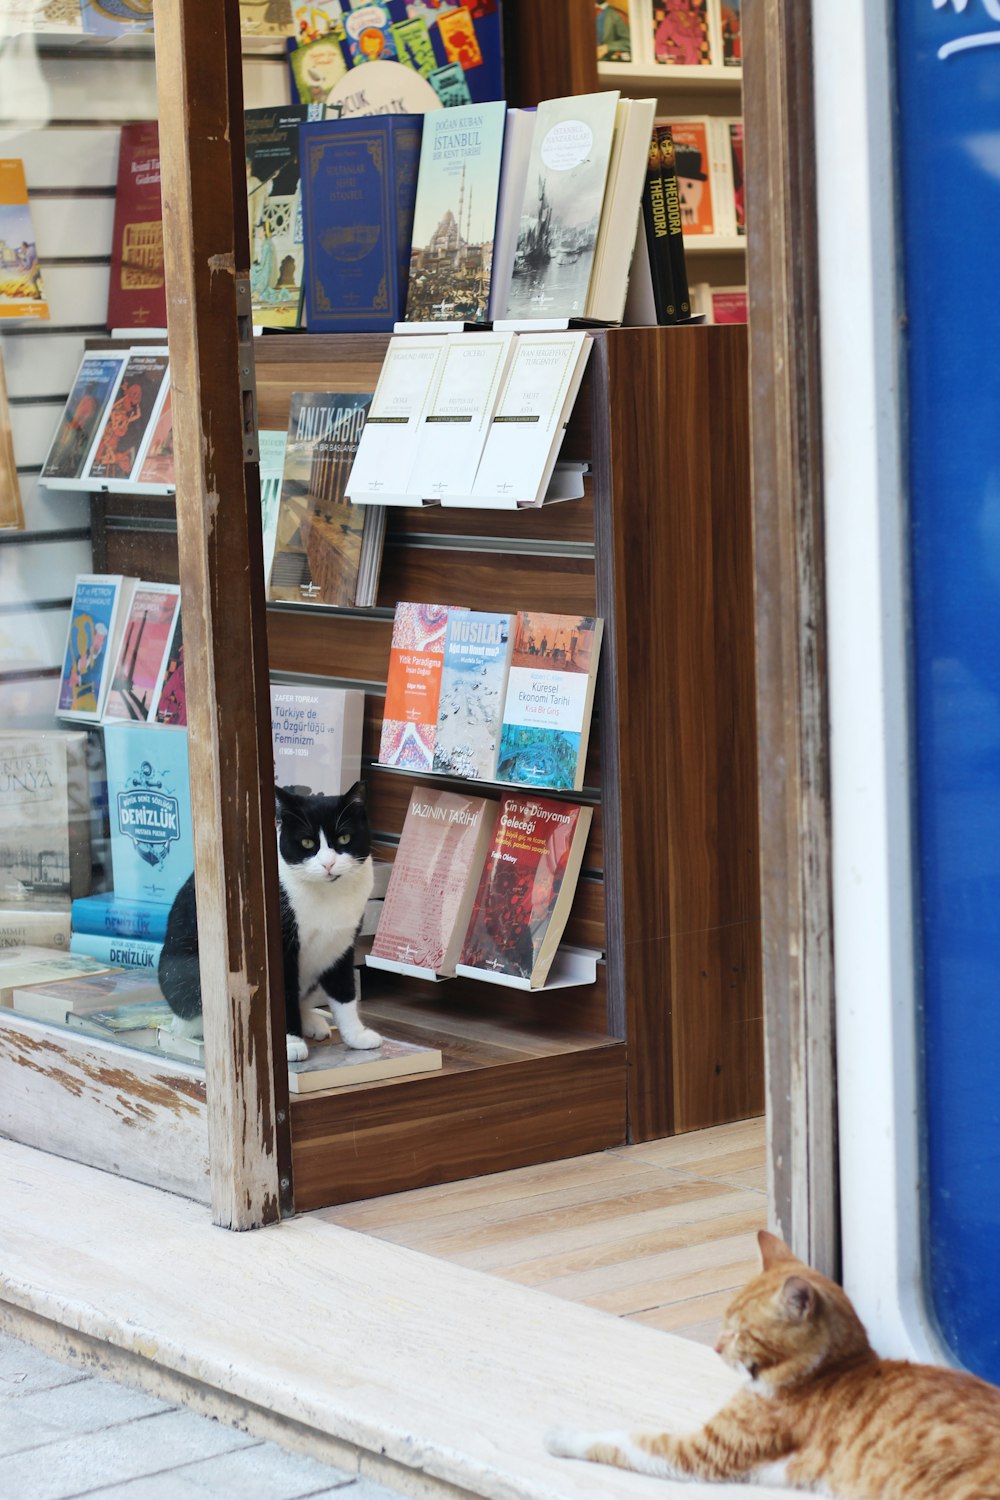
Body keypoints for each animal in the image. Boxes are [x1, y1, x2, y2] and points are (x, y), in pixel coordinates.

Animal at [158, 780, 380, 1062]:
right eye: (307, 842)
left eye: (344, 838)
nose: (328, 864)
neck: (328, 894)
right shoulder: (280, 948)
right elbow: (282, 995)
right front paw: (290, 1043)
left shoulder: (342, 944)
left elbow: (344, 991)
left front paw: (356, 1035)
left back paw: (311, 1021)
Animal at [548, 1224, 1000, 1494]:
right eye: (723, 1323)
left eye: (740, 1332)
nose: (715, 1347)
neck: (829, 1370)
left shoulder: (702, 1452)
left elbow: (622, 1439)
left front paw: (562, 1435)